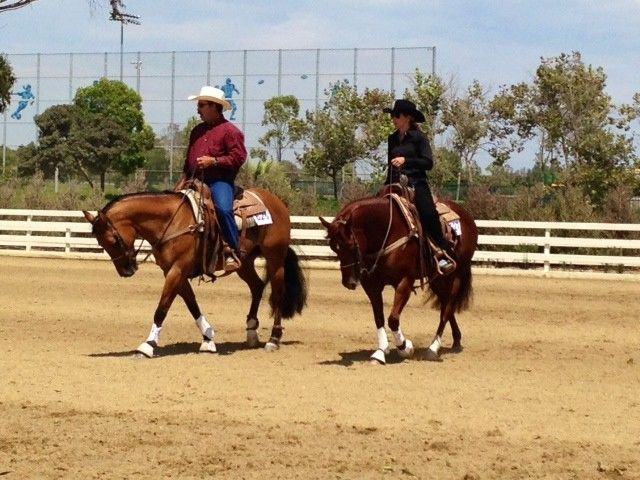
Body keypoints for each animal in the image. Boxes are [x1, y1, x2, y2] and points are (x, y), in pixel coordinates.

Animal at [82, 187, 308, 356]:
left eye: (112, 240)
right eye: (100, 243)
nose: (126, 270)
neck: (172, 221)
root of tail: (277, 202)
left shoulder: (177, 271)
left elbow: (161, 309)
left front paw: (147, 345)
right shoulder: (175, 272)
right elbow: (192, 305)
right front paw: (208, 338)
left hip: (275, 258)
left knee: (277, 293)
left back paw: (273, 339)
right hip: (244, 263)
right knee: (257, 286)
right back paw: (252, 331)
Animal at [320, 193, 476, 362]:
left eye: (350, 245)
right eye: (333, 247)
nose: (349, 282)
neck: (386, 234)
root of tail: (465, 214)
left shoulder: (404, 282)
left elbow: (393, 319)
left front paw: (405, 348)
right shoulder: (371, 285)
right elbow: (379, 318)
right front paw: (381, 351)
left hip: (456, 275)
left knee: (447, 308)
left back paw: (433, 348)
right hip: (438, 279)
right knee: (446, 304)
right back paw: (456, 340)